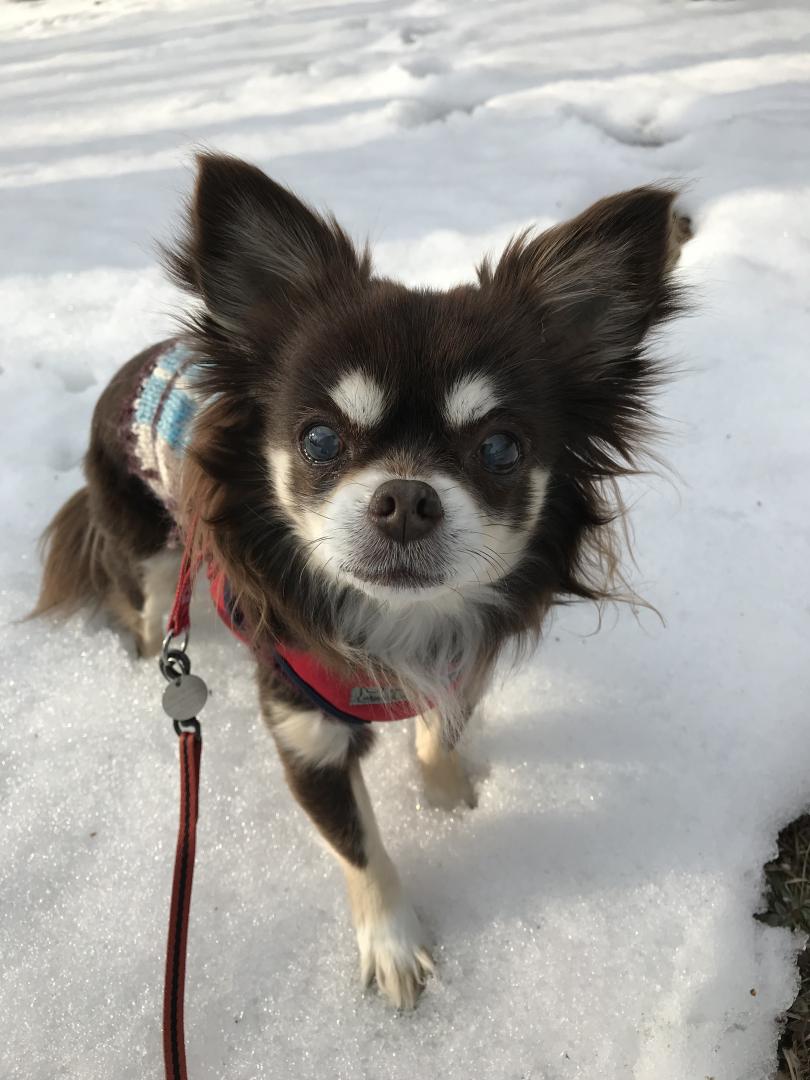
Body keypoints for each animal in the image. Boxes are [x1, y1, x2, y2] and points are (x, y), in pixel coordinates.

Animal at [34, 154, 686, 1010]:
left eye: (501, 449)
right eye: (318, 439)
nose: (406, 499)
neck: (396, 624)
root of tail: (142, 360)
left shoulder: (457, 666)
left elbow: (439, 735)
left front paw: (448, 799)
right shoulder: (304, 734)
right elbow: (360, 847)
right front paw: (396, 947)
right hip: (148, 542)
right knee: (149, 608)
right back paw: (143, 658)